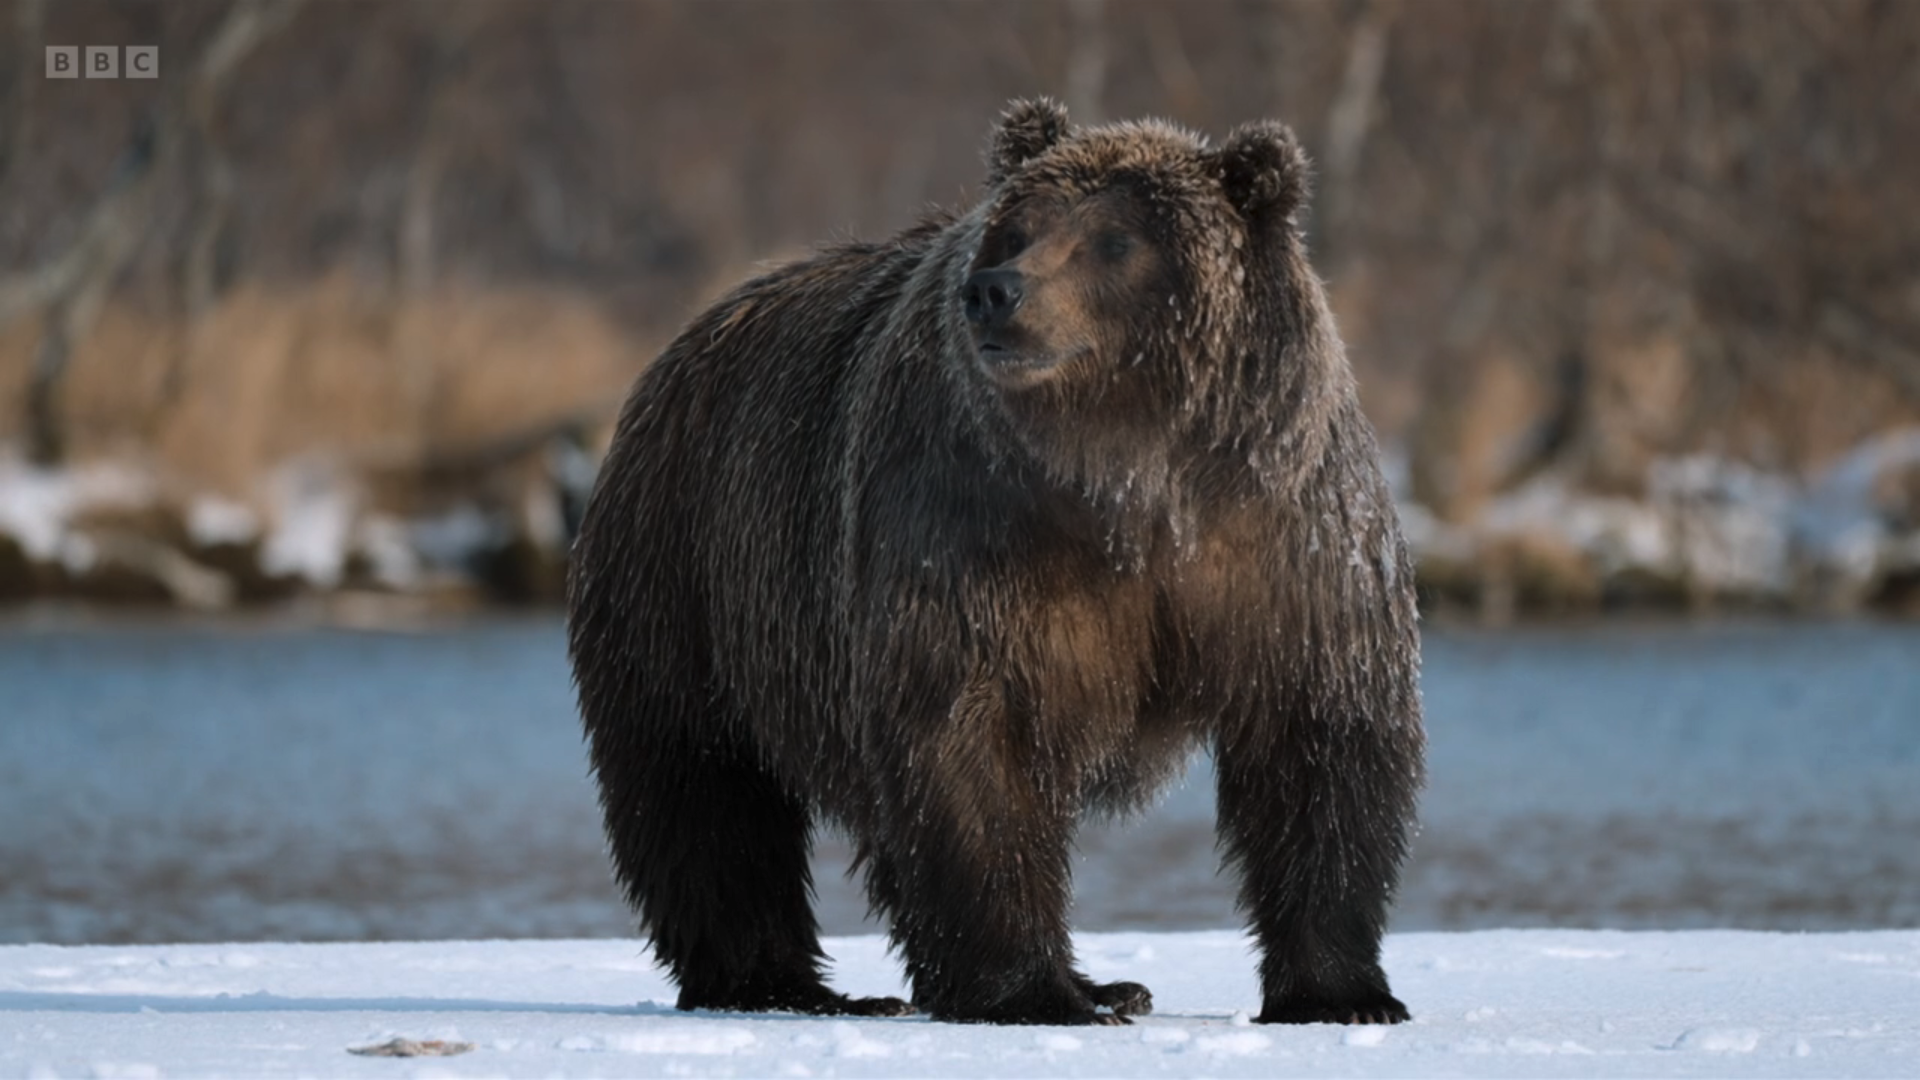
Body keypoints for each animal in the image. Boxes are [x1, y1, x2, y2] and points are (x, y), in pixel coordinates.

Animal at [567, 98, 1425, 1027]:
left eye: (1116, 239)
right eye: (1017, 229)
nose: (995, 292)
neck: (1132, 483)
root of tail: (681, 346)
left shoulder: (1281, 539)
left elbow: (1319, 739)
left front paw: (1342, 993)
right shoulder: (974, 541)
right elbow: (975, 749)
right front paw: (1032, 992)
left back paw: (1101, 981)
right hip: (693, 580)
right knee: (704, 788)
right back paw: (787, 984)